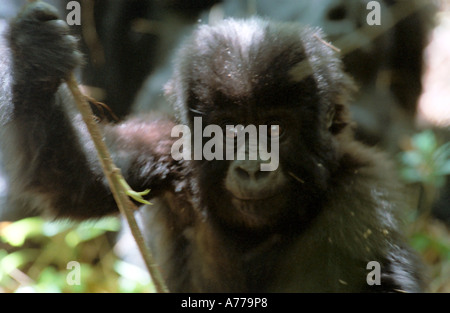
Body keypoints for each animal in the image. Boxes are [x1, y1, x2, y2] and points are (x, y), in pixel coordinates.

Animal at [0, 1, 426, 292]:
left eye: (276, 130)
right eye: (229, 131)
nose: (252, 168)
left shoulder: (366, 194)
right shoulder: (167, 148)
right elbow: (79, 178)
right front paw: (37, 56)